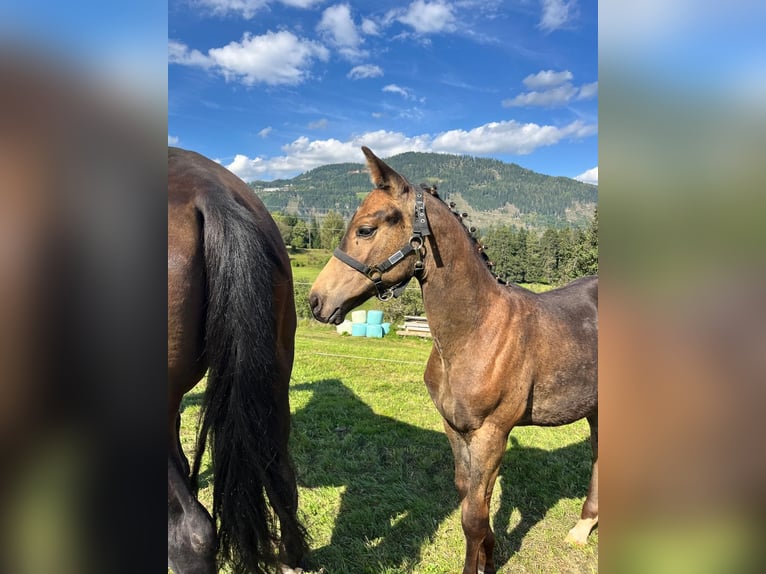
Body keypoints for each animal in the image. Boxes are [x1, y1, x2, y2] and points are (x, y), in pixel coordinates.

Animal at [310, 147, 600, 574]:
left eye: (365, 229)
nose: (316, 301)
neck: (476, 332)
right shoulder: (455, 429)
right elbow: (473, 502)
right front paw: (490, 557)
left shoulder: (491, 433)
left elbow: (473, 518)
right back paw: (582, 528)